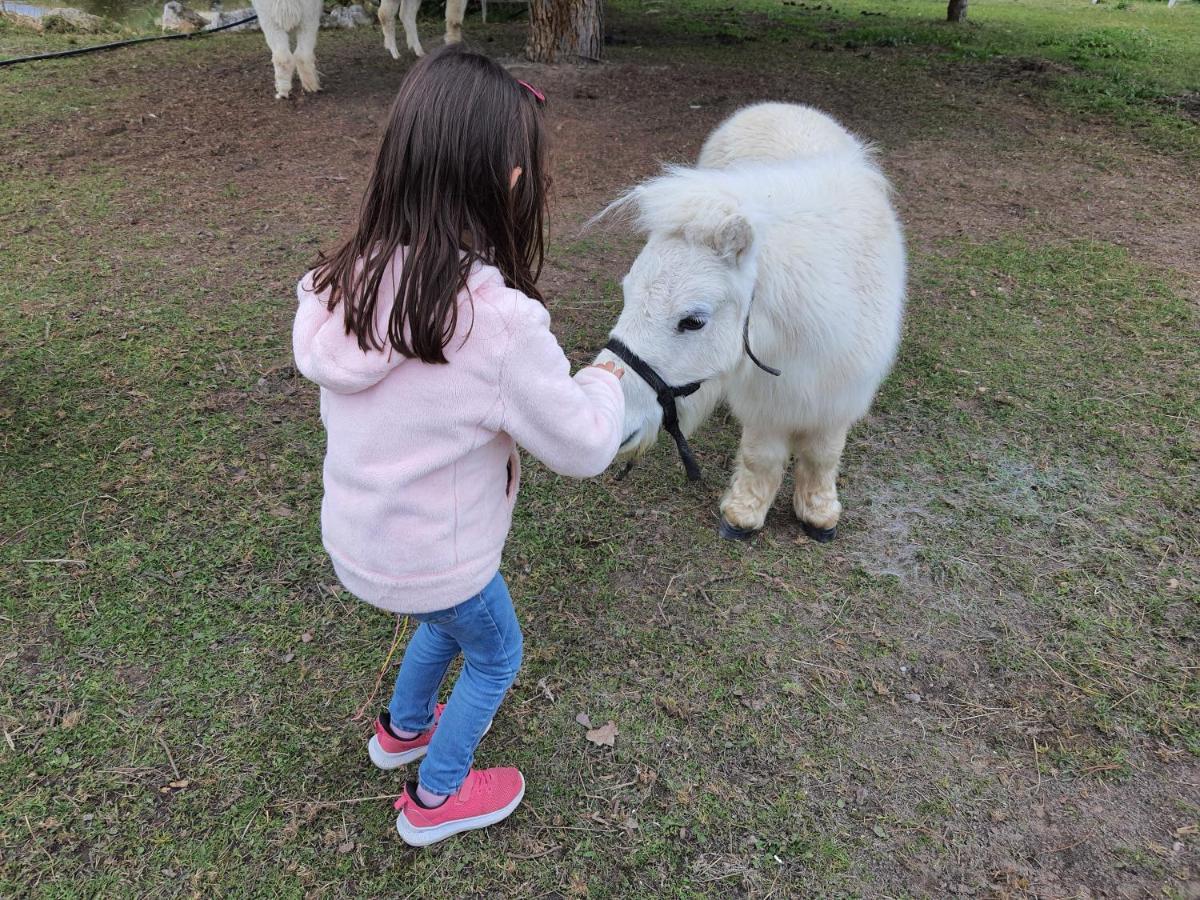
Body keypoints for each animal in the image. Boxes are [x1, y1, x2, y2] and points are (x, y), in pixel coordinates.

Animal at [595, 105, 902, 542]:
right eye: (627, 294)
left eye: (693, 320)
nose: (611, 419)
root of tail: (775, 105)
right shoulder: (765, 400)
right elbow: (762, 456)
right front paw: (744, 513)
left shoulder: (840, 393)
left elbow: (823, 454)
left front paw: (818, 512)